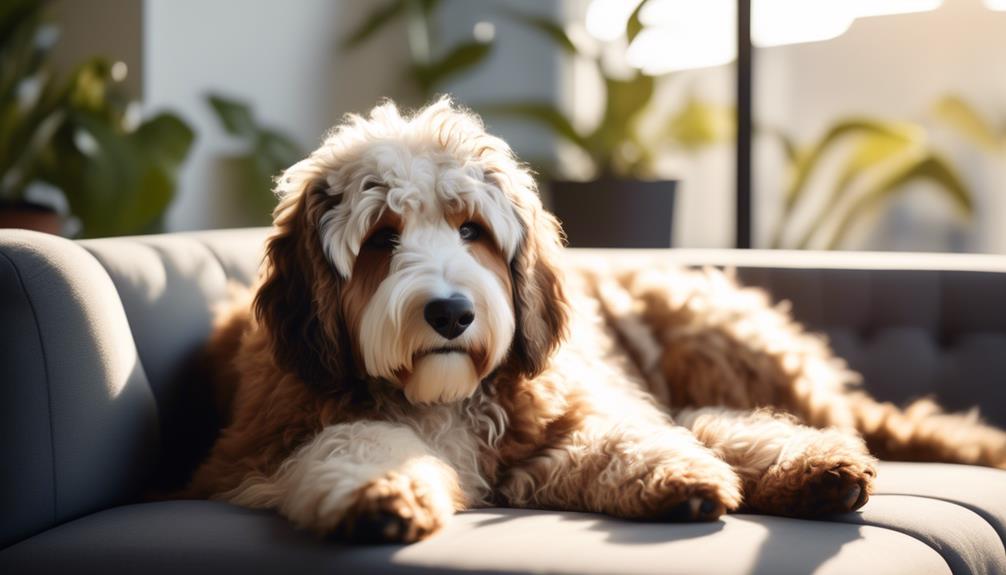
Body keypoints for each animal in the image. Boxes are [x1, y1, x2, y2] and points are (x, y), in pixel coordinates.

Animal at [183, 96, 1006, 542]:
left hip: (711, 337)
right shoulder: (258, 450)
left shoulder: (579, 406)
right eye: (382, 238)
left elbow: (624, 441)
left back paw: (817, 468)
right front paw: (381, 496)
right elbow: (354, 446)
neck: (442, 398)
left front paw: (677, 474)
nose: (451, 312)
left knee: (759, 419)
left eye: (470, 229)